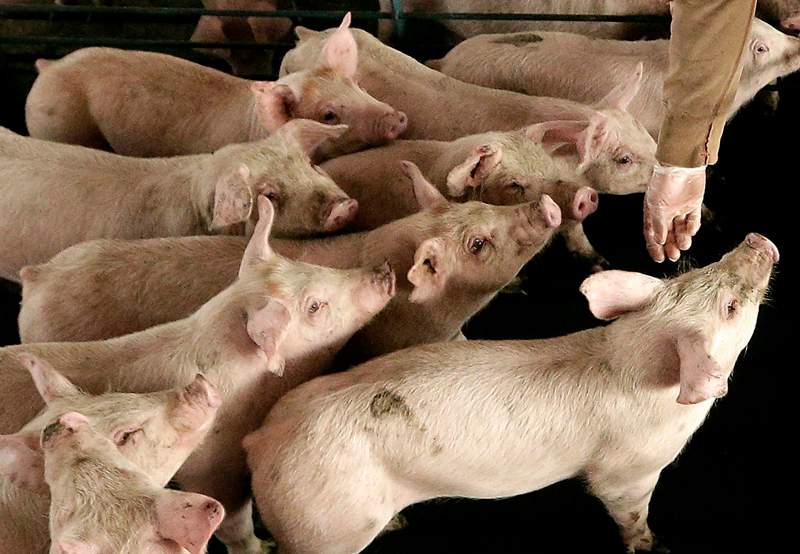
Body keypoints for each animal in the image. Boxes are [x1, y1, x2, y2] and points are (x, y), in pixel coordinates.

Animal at [244, 233, 779, 554]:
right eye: (732, 307)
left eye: (695, 271)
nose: (758, 239)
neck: (632, 356)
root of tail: (261, 441)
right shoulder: (629, 469)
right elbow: (628, 509)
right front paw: (653, 545)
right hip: (321, 527)